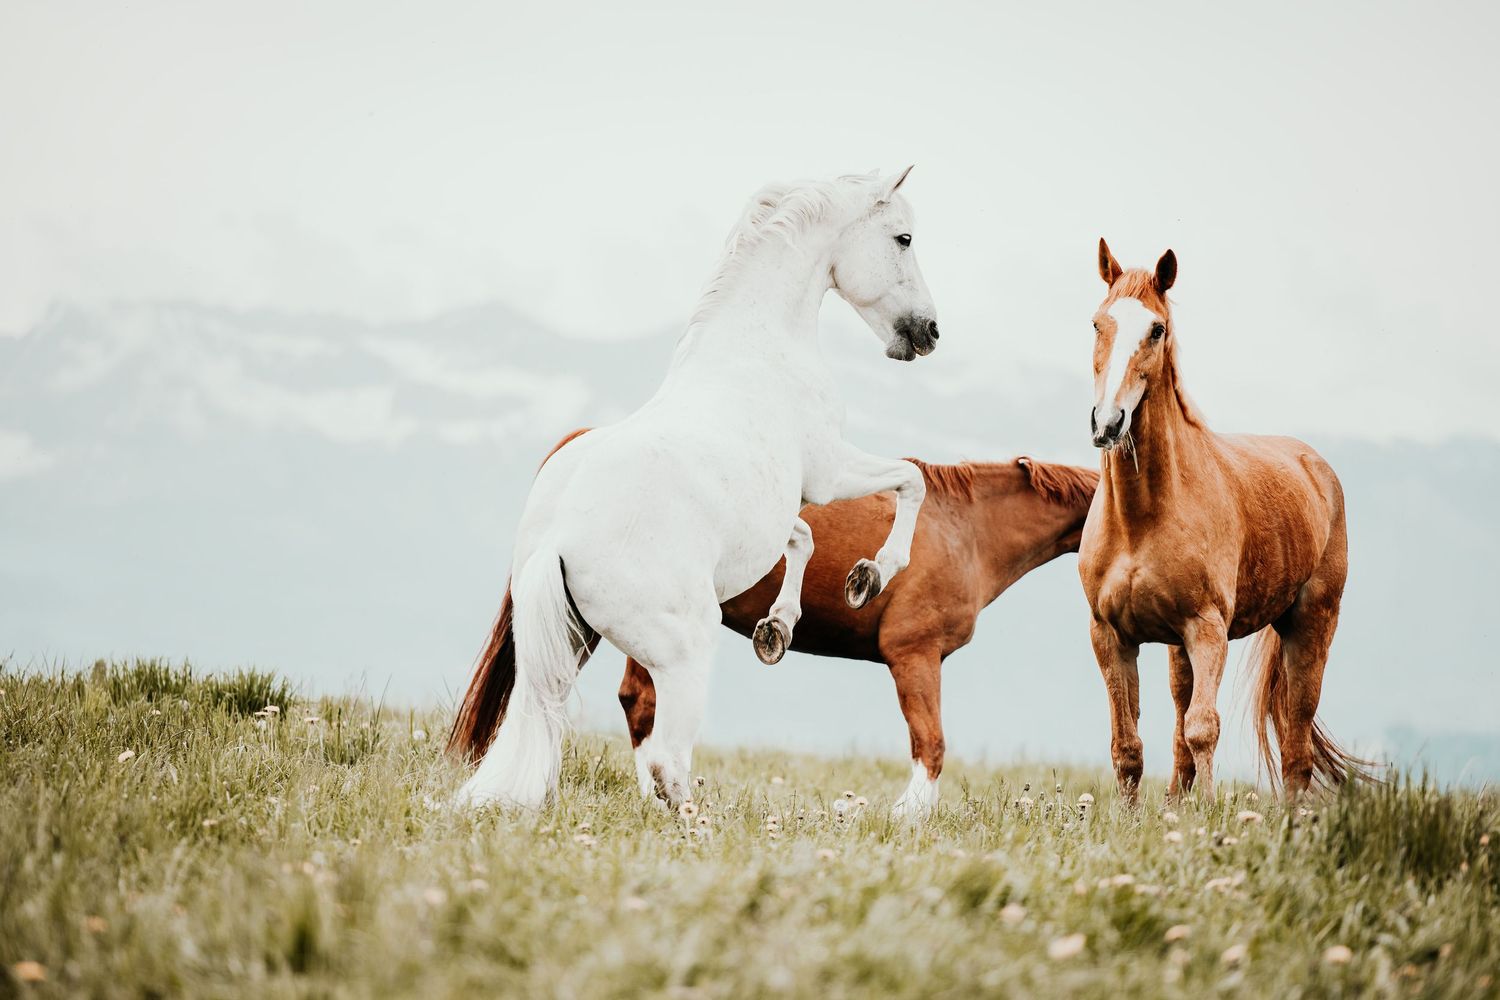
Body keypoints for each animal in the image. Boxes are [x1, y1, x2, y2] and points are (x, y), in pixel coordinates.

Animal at [449, 169, 941, 810]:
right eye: (903, 237)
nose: (929, 332)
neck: (758, 345)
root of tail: (557, 539)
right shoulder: (829, 472)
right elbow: (911, 479)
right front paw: (869, 576)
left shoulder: (780, 511)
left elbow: (803, 539)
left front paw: (777, 630)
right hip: (684, 651)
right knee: (665, 759)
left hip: (567, 644)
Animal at [1078, 239, 1370, 802]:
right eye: (1098, 323)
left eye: (1157, 329)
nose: (1108, 423)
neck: (1141, 518)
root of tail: (1315, 467)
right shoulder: (1112, 635)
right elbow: (1128, 746)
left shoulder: (1207, 629)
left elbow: (1202, 728)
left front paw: (1209, 811)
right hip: (1178, 647)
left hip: (1310, 628)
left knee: (1295, 746)